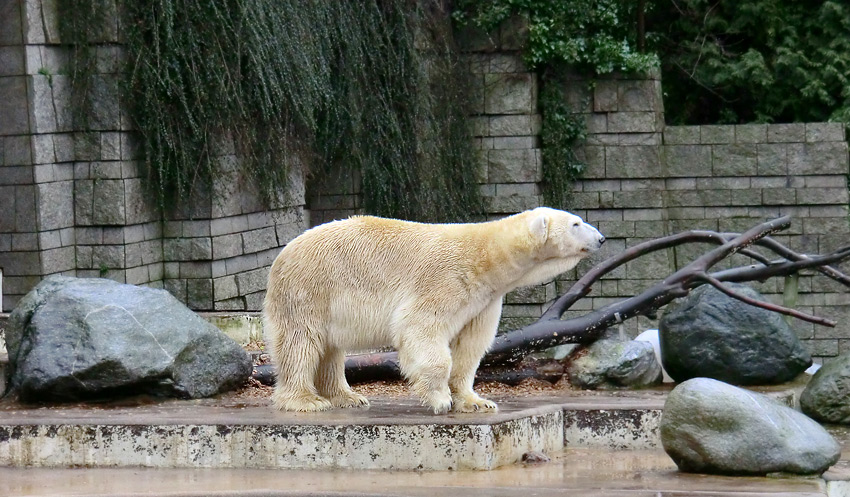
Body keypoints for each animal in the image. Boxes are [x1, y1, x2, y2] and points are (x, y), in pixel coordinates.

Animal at [264, 204, 604, 410]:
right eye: (576, 223)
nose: (601, 238)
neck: (485, 259)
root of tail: (283, 254)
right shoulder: (445, 280)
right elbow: (420, 327)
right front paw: (440, 400)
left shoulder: (483, 300)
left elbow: (471, 347)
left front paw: (476, 402)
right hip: (311, 288)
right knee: (302, 342)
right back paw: (306, 400)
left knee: (331, 348)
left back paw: (348, 397)